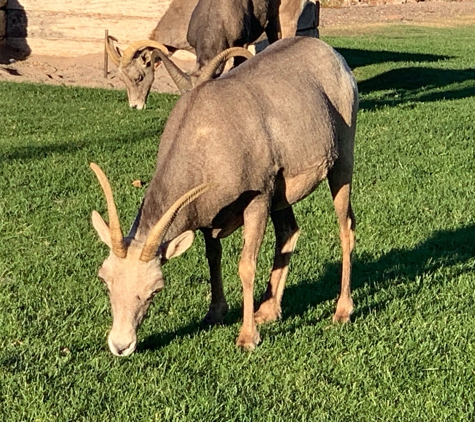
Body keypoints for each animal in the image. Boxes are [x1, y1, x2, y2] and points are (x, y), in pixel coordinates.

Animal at [92, 37, 356, 356]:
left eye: (156, 288)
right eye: (105, 279)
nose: (121, 345)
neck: (207, 139)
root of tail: (332, 54)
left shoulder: (258, 200)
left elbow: (246, 266)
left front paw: (248, 338)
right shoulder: (209, 218)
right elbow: (212, 258)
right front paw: (214, 314)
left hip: (341, 165)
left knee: (346, 228)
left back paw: (342, 311)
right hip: (281, 197)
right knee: (289, 233)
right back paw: (268, 311)